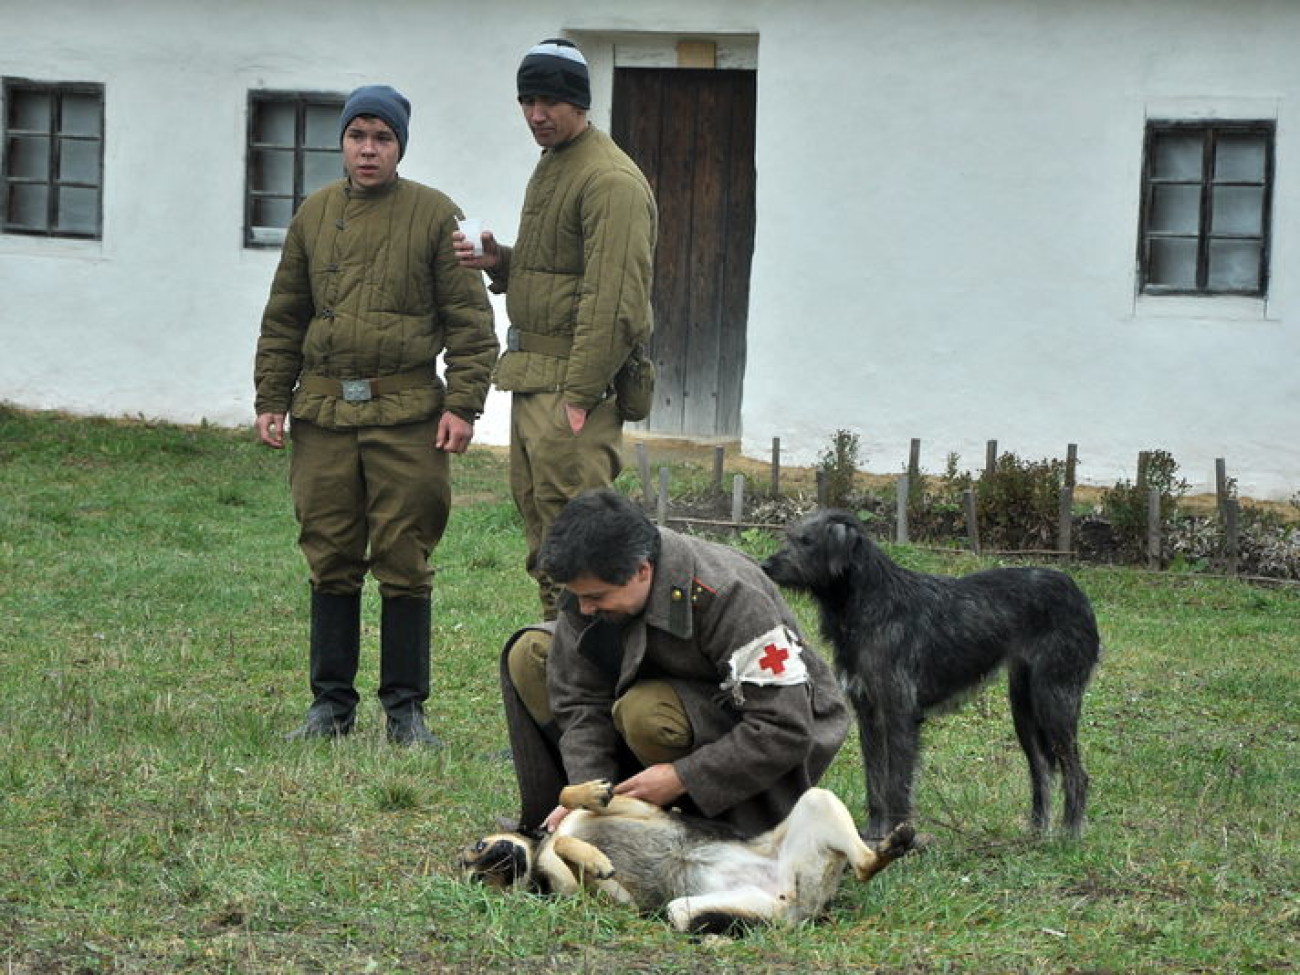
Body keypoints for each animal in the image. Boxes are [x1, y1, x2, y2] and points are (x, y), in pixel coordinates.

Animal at [457, 785, 915, 935]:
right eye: (476, 879)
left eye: (477, 847)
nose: (499, 856)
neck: (538, 855)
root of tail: (804, 901)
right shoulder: (612, 900)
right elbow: (574, 852)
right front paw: (595, 858)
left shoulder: (637, 806)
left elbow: (567, 797)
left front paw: (590, 793)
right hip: (692, 911)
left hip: (818, 799)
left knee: (863, 862)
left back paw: (891, 846)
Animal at [764, 512, 1102, 842]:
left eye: (807, 541)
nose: (766, 566)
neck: (868, 602)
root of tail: (1077, 593)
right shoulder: (869, 714)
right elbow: (875, 780)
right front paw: (875, 833)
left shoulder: (899, 713)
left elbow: (897, 781)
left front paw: (898, 836)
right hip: (1024, 709)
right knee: (1041, 769)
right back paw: (1037, 833)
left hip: (1054, 700)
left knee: (1077, 773)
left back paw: (1070, 835)